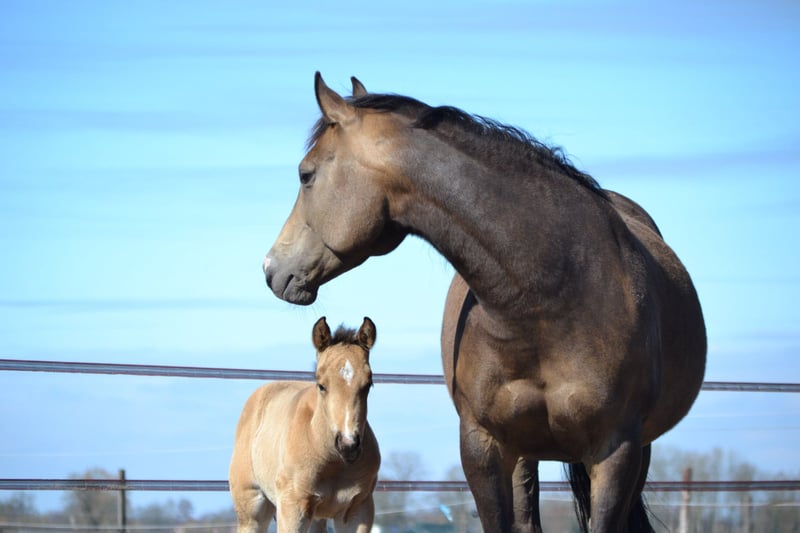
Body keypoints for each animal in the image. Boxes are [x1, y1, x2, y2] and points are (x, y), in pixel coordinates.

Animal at [229, 316, 381, 533]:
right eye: (321, 385)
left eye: (368, 385)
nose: (348, 444)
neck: (333, 461)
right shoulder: (293, 507)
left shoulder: (358, 509)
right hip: (252, 510)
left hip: (316, 517)